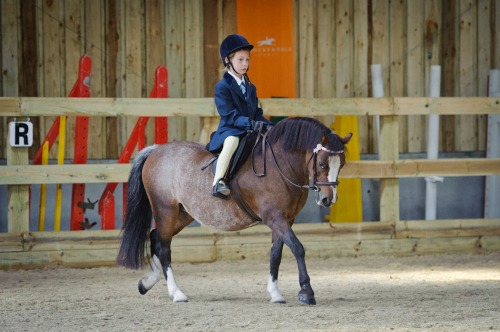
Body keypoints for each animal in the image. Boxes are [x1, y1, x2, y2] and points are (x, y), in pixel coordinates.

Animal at [116, 116, 352, 306]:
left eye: (341, 164)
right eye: (322, 164)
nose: (328, 199)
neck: (280, 166)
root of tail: (156, 150)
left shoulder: (285, 219)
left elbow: (276, 253)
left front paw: (275, 294)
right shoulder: (274, 217)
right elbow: (297, 248)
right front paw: (306, 292)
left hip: (182, 214)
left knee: (156, 237)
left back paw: (147, 282)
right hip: (166, 210)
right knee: (163, 247)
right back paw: (177, 293)